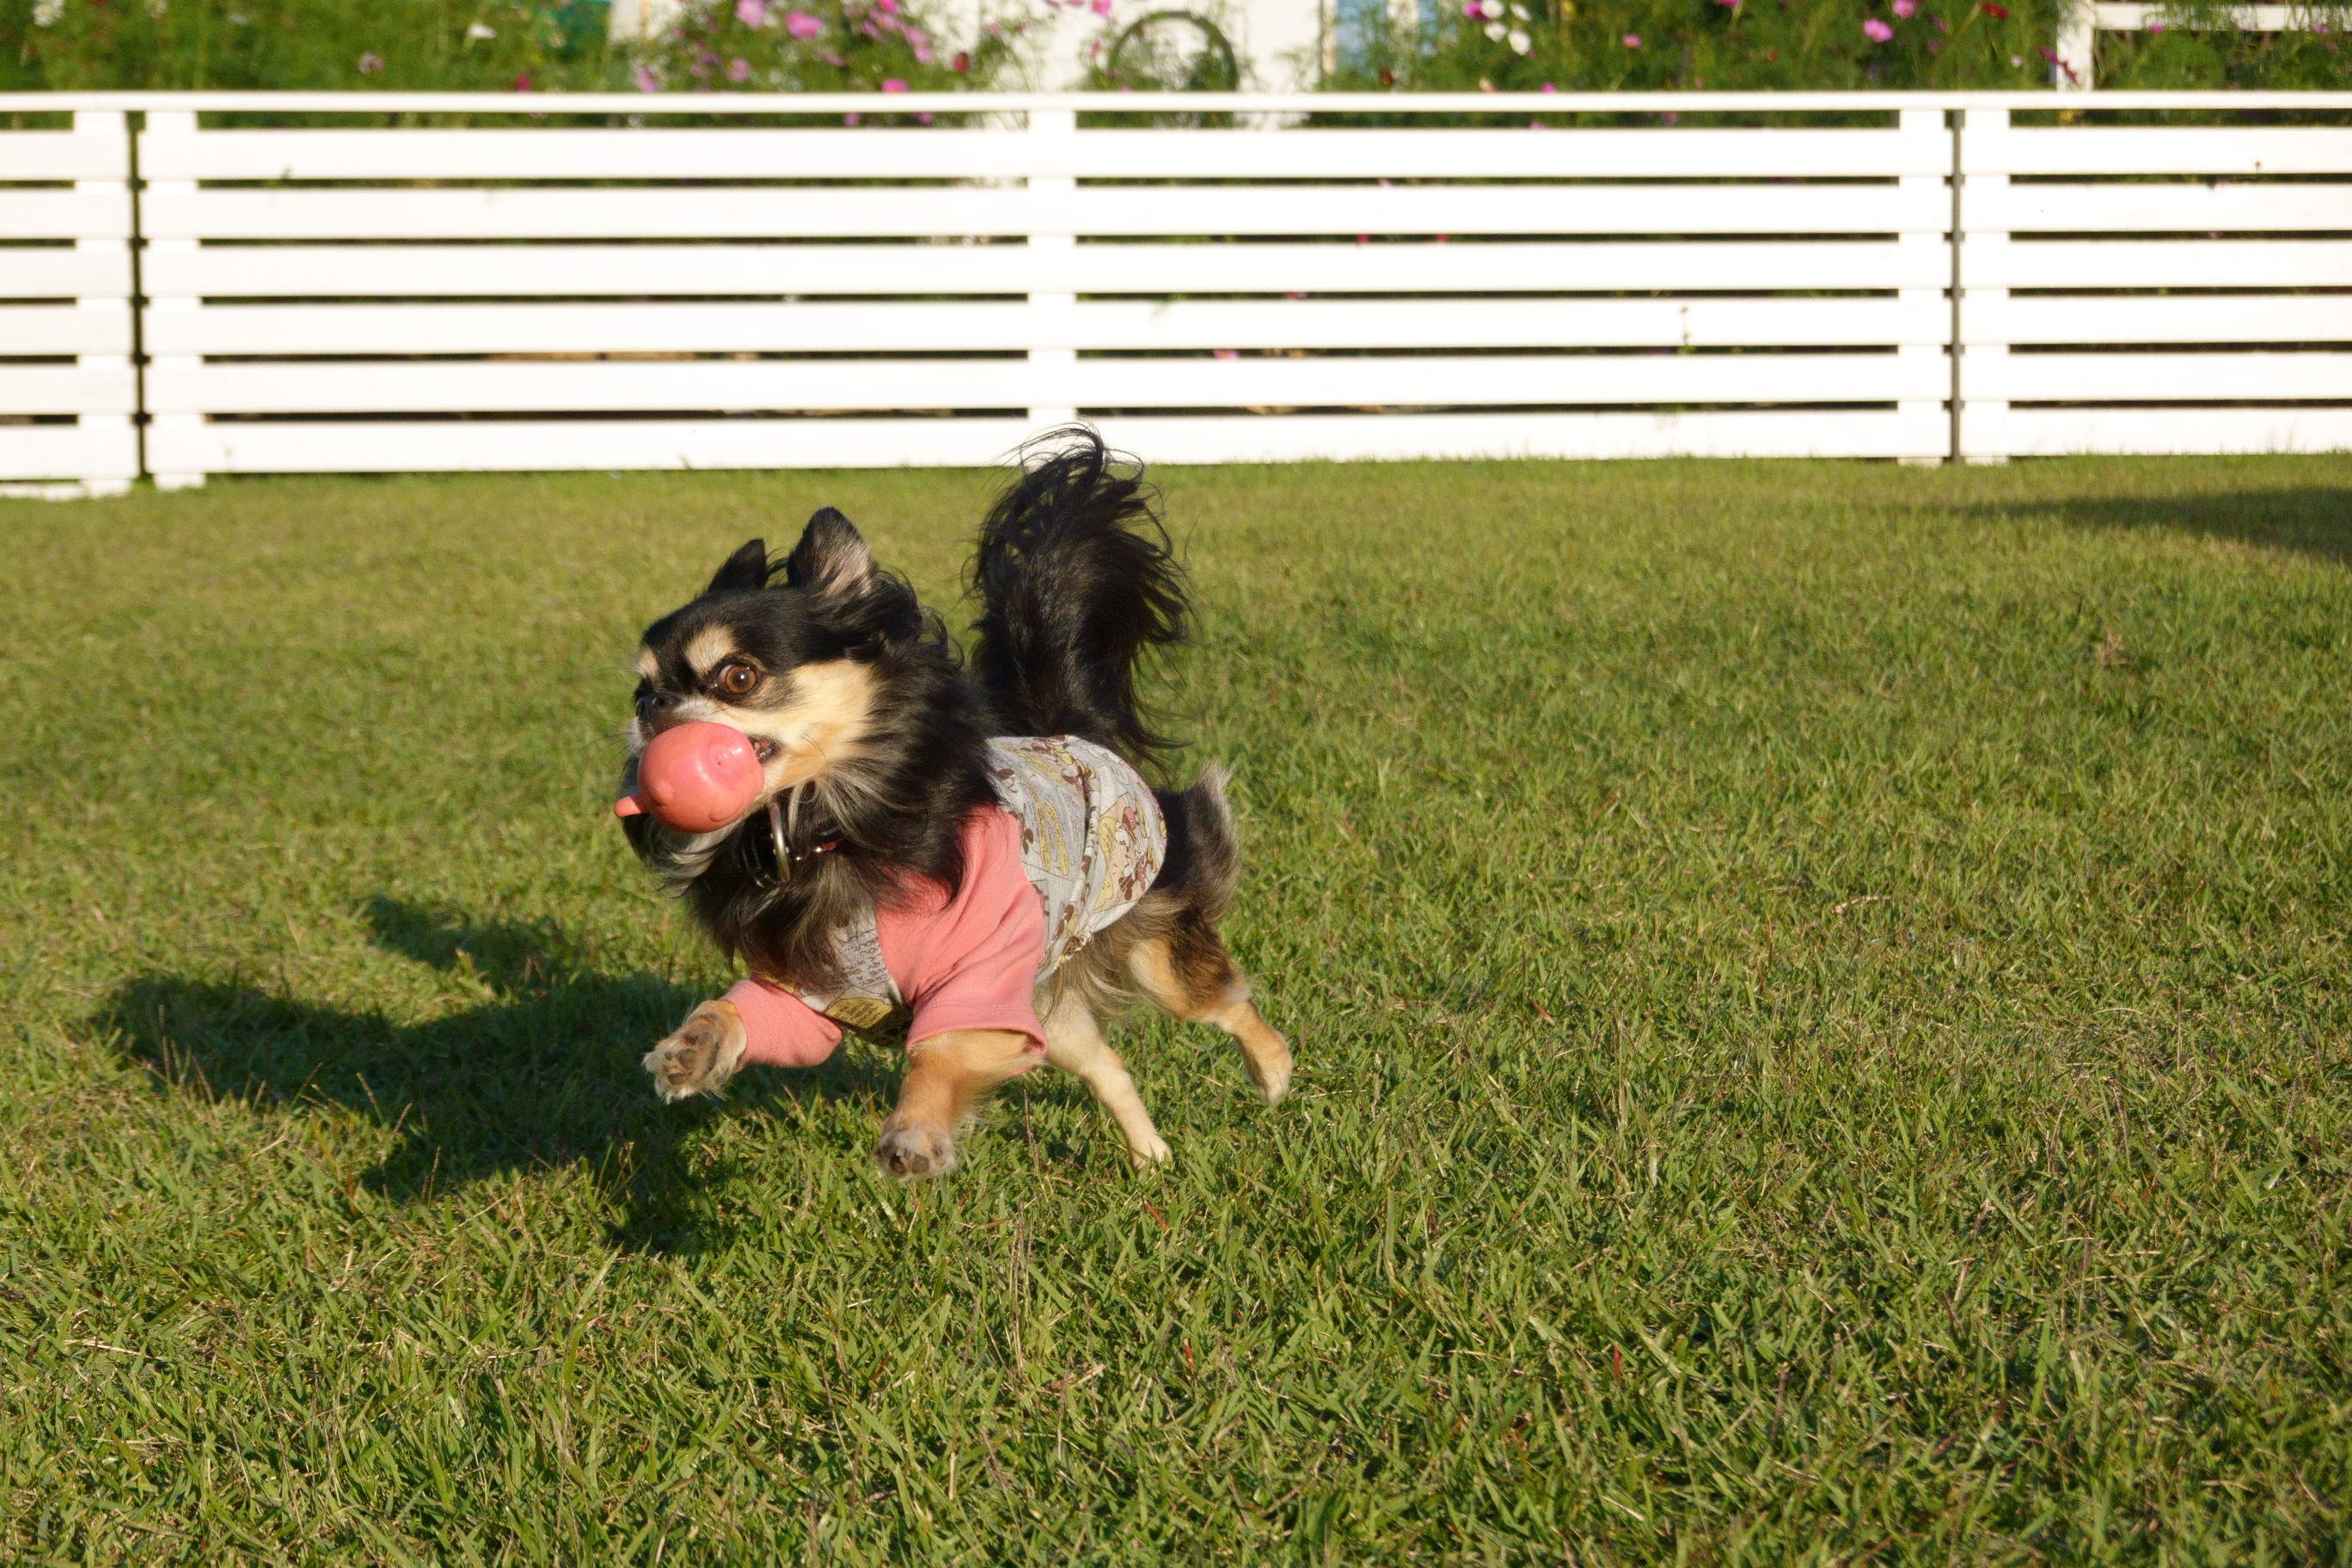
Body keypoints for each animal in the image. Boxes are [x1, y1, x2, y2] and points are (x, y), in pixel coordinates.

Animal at [621, 430, 1289, 1175]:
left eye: (737, 677)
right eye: (640, 691)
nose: (654, 708)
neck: (830, 825)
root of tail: (1075, 729)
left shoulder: (980, 982)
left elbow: (938, 1056)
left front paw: (914, 1130)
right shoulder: (810, 988)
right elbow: (736, 1011)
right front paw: (693, 1047)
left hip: (1152, 948)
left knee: (1224, 1002)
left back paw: (1273, 1073)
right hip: (1050, 1010)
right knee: (1109, 1067)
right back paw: (1149, 1155)